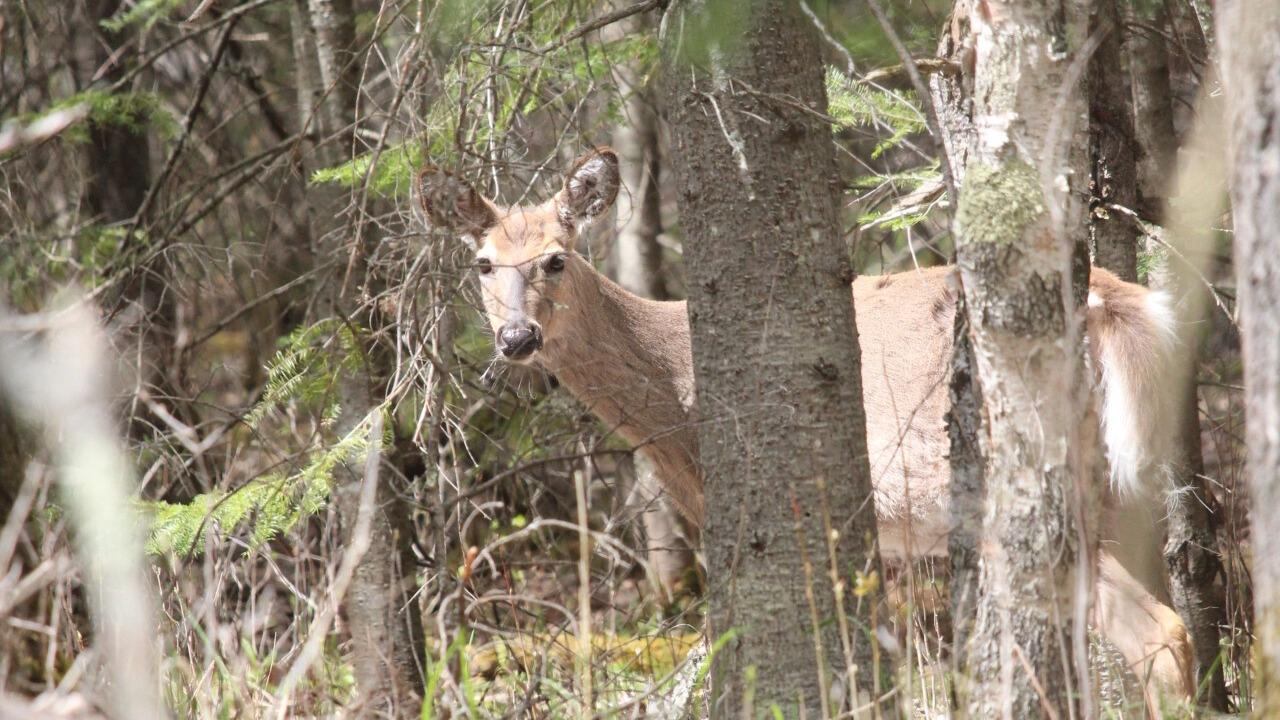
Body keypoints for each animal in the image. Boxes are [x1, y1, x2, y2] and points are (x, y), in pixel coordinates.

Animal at [414, 147, 1195, 709]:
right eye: (482, 263)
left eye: (556, 257)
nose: (516, 338)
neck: (678, 404)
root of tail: (1116, 304)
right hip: (1110, 495)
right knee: (1168, 627)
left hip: (1012, 482)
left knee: (1155, 634)